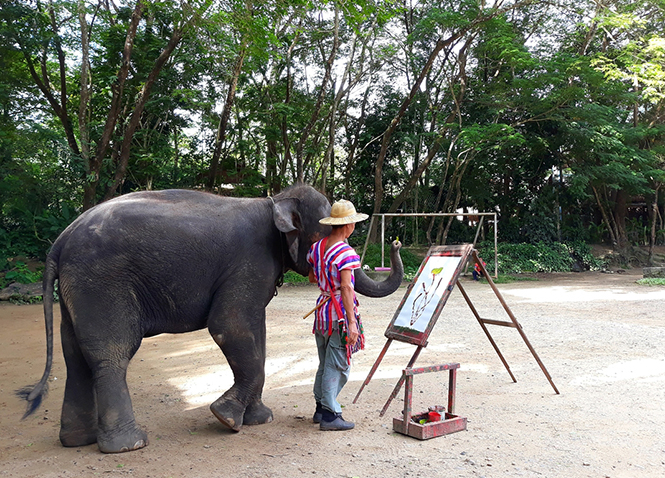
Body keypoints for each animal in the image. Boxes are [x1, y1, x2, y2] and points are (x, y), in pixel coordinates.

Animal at [20, 185, 402, 454]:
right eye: (334, 234)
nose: (397, 244)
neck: (274, 200)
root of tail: (60, 242)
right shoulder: (250, 260)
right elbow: (230, 326)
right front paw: (226, 418)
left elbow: (257, 333)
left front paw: (258, 420)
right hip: (101, 282)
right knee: (111, 354)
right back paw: (129, 445)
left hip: (78, 289)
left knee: (75, 357)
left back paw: (77, 441)